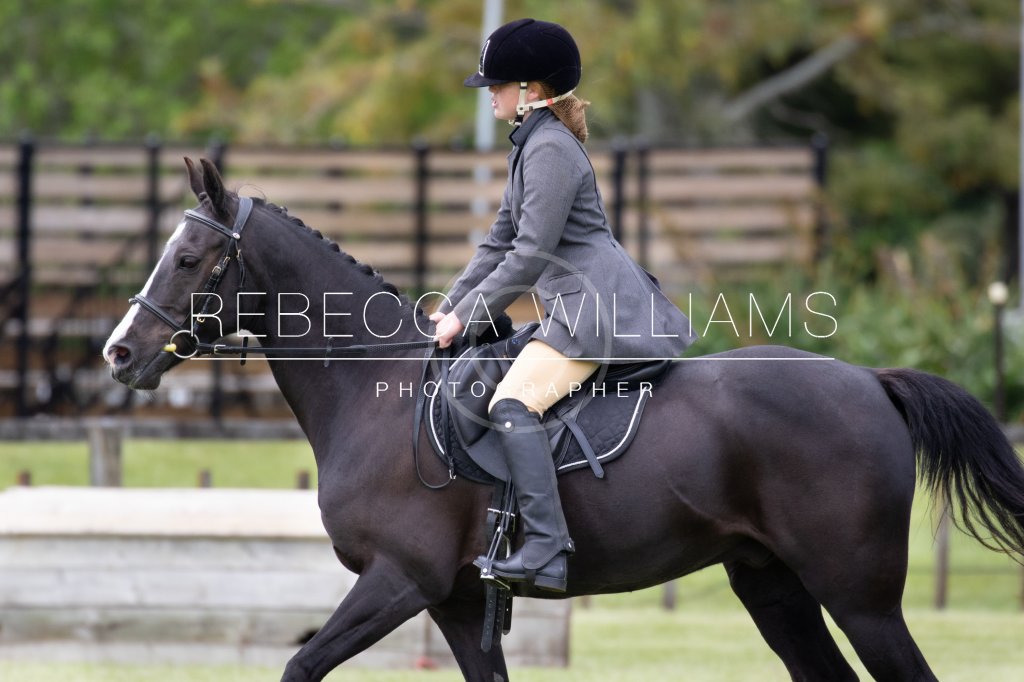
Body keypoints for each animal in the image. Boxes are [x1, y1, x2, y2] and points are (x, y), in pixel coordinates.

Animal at [103, 158, 1024, 682]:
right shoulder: (456, 603)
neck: (374, 390)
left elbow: (299, 665)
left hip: (859, 596)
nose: (118, 353)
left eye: (189, 259)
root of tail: (871, 380)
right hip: (772, 583)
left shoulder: (399, 580)